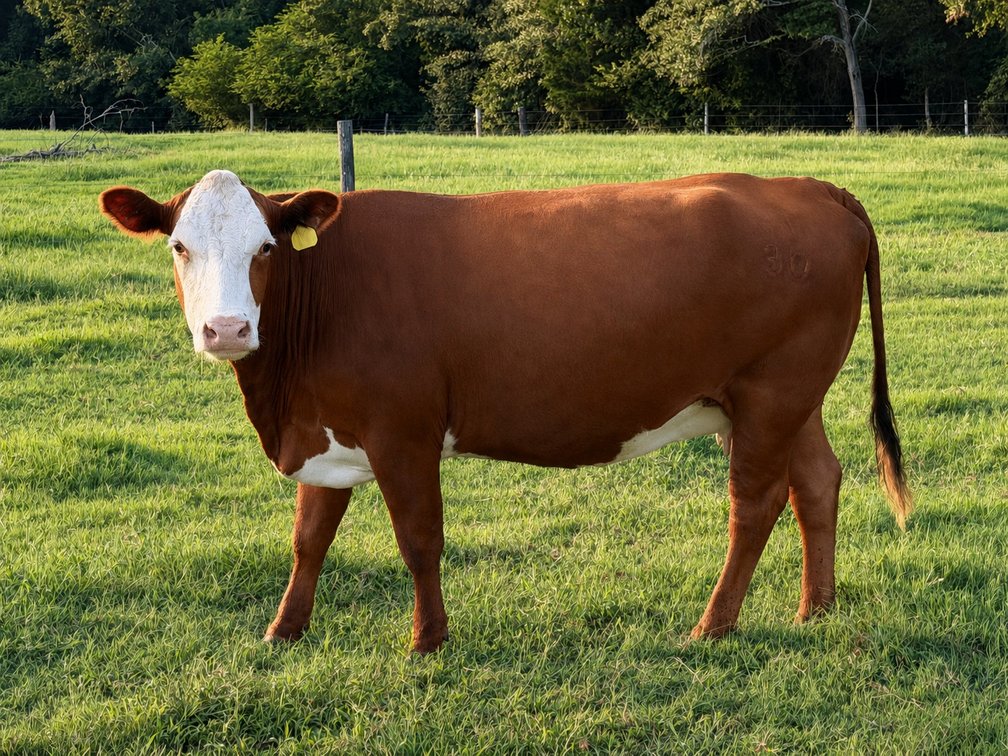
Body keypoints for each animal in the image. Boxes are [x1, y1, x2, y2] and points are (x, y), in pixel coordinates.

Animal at [100, 169, 911, 653]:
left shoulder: (403, 431)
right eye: (179, 246)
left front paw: (428, 641)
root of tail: (806, 185)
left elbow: (419, 539)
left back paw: (712, 626)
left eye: (266, 247)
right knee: (817, 483)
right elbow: (309, 539)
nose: (226, 330)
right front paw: (283, 631)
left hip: (771, 392)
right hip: (784, 400)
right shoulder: (327, 431)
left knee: (755, 503)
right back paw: (815, 610)